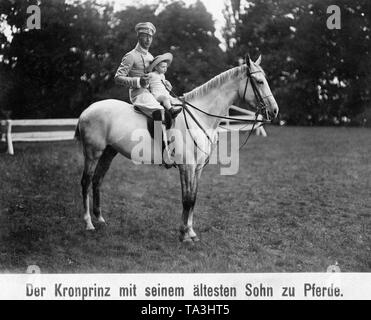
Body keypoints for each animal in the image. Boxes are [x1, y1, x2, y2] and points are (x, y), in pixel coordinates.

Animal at [76, 57, 280, 242]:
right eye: (259, 81)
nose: (275, 111)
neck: (199, 116)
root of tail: (86, 111)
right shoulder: (187, 166)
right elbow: (187, 199)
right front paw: (184, 234)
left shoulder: (197, 168)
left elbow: (193, 198)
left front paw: (190, 232)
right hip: (93, 153)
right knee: (86, 182)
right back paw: (89, 223)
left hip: (109, 152)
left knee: (97, 180)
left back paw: (100, 219)